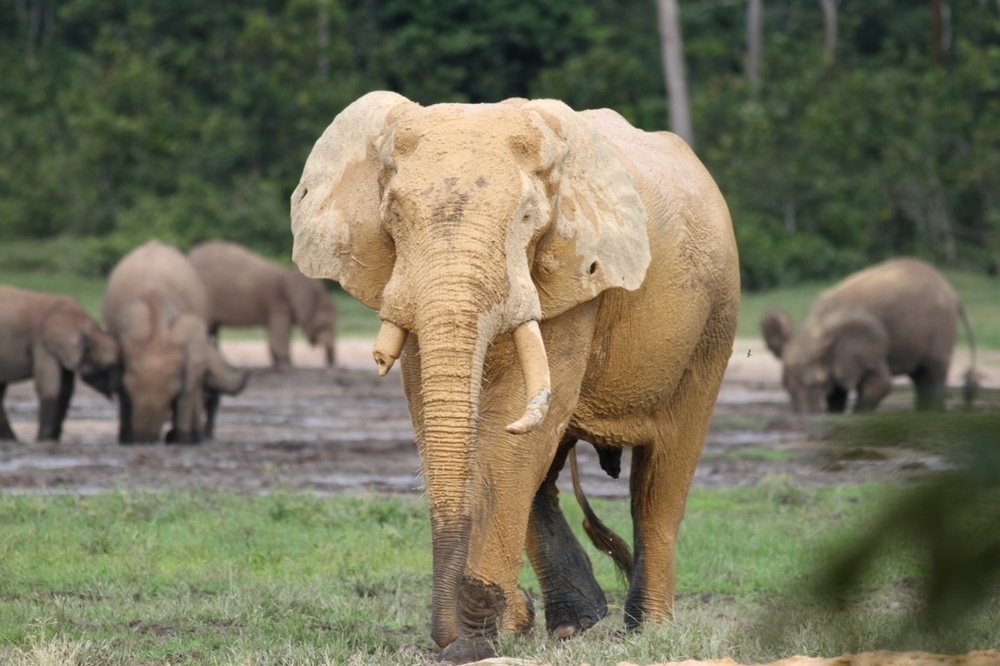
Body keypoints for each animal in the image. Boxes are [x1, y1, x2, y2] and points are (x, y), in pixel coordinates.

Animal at [0, 285, 120, 441]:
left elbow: (65, 390)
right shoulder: (43, 344)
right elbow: (50, 387)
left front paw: (52, 439)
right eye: (108, 368)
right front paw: (43, 440)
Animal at [101, 240, 249, 444]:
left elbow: (187, 391)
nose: (145, 440)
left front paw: (180, 439)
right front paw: (127, 439)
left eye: (172, 392)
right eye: (129, 388)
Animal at [291, 91, 740, 662]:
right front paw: (500, 626)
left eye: (528, 217)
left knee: (662, 477)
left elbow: (515, 432)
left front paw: (479, 637)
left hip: (714, 320)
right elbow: (440, 413)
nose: (450, 636)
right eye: (392, 214)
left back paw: (647, 630)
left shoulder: (574, 272)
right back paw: (572, 624)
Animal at [761, 257, 978, 414]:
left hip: (942, 327)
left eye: (816, 384)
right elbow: (837, 392)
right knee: (921, 378)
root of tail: (952, 292)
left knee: (931, 377)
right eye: (787, 389)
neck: (817, 328)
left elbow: (880, 384)